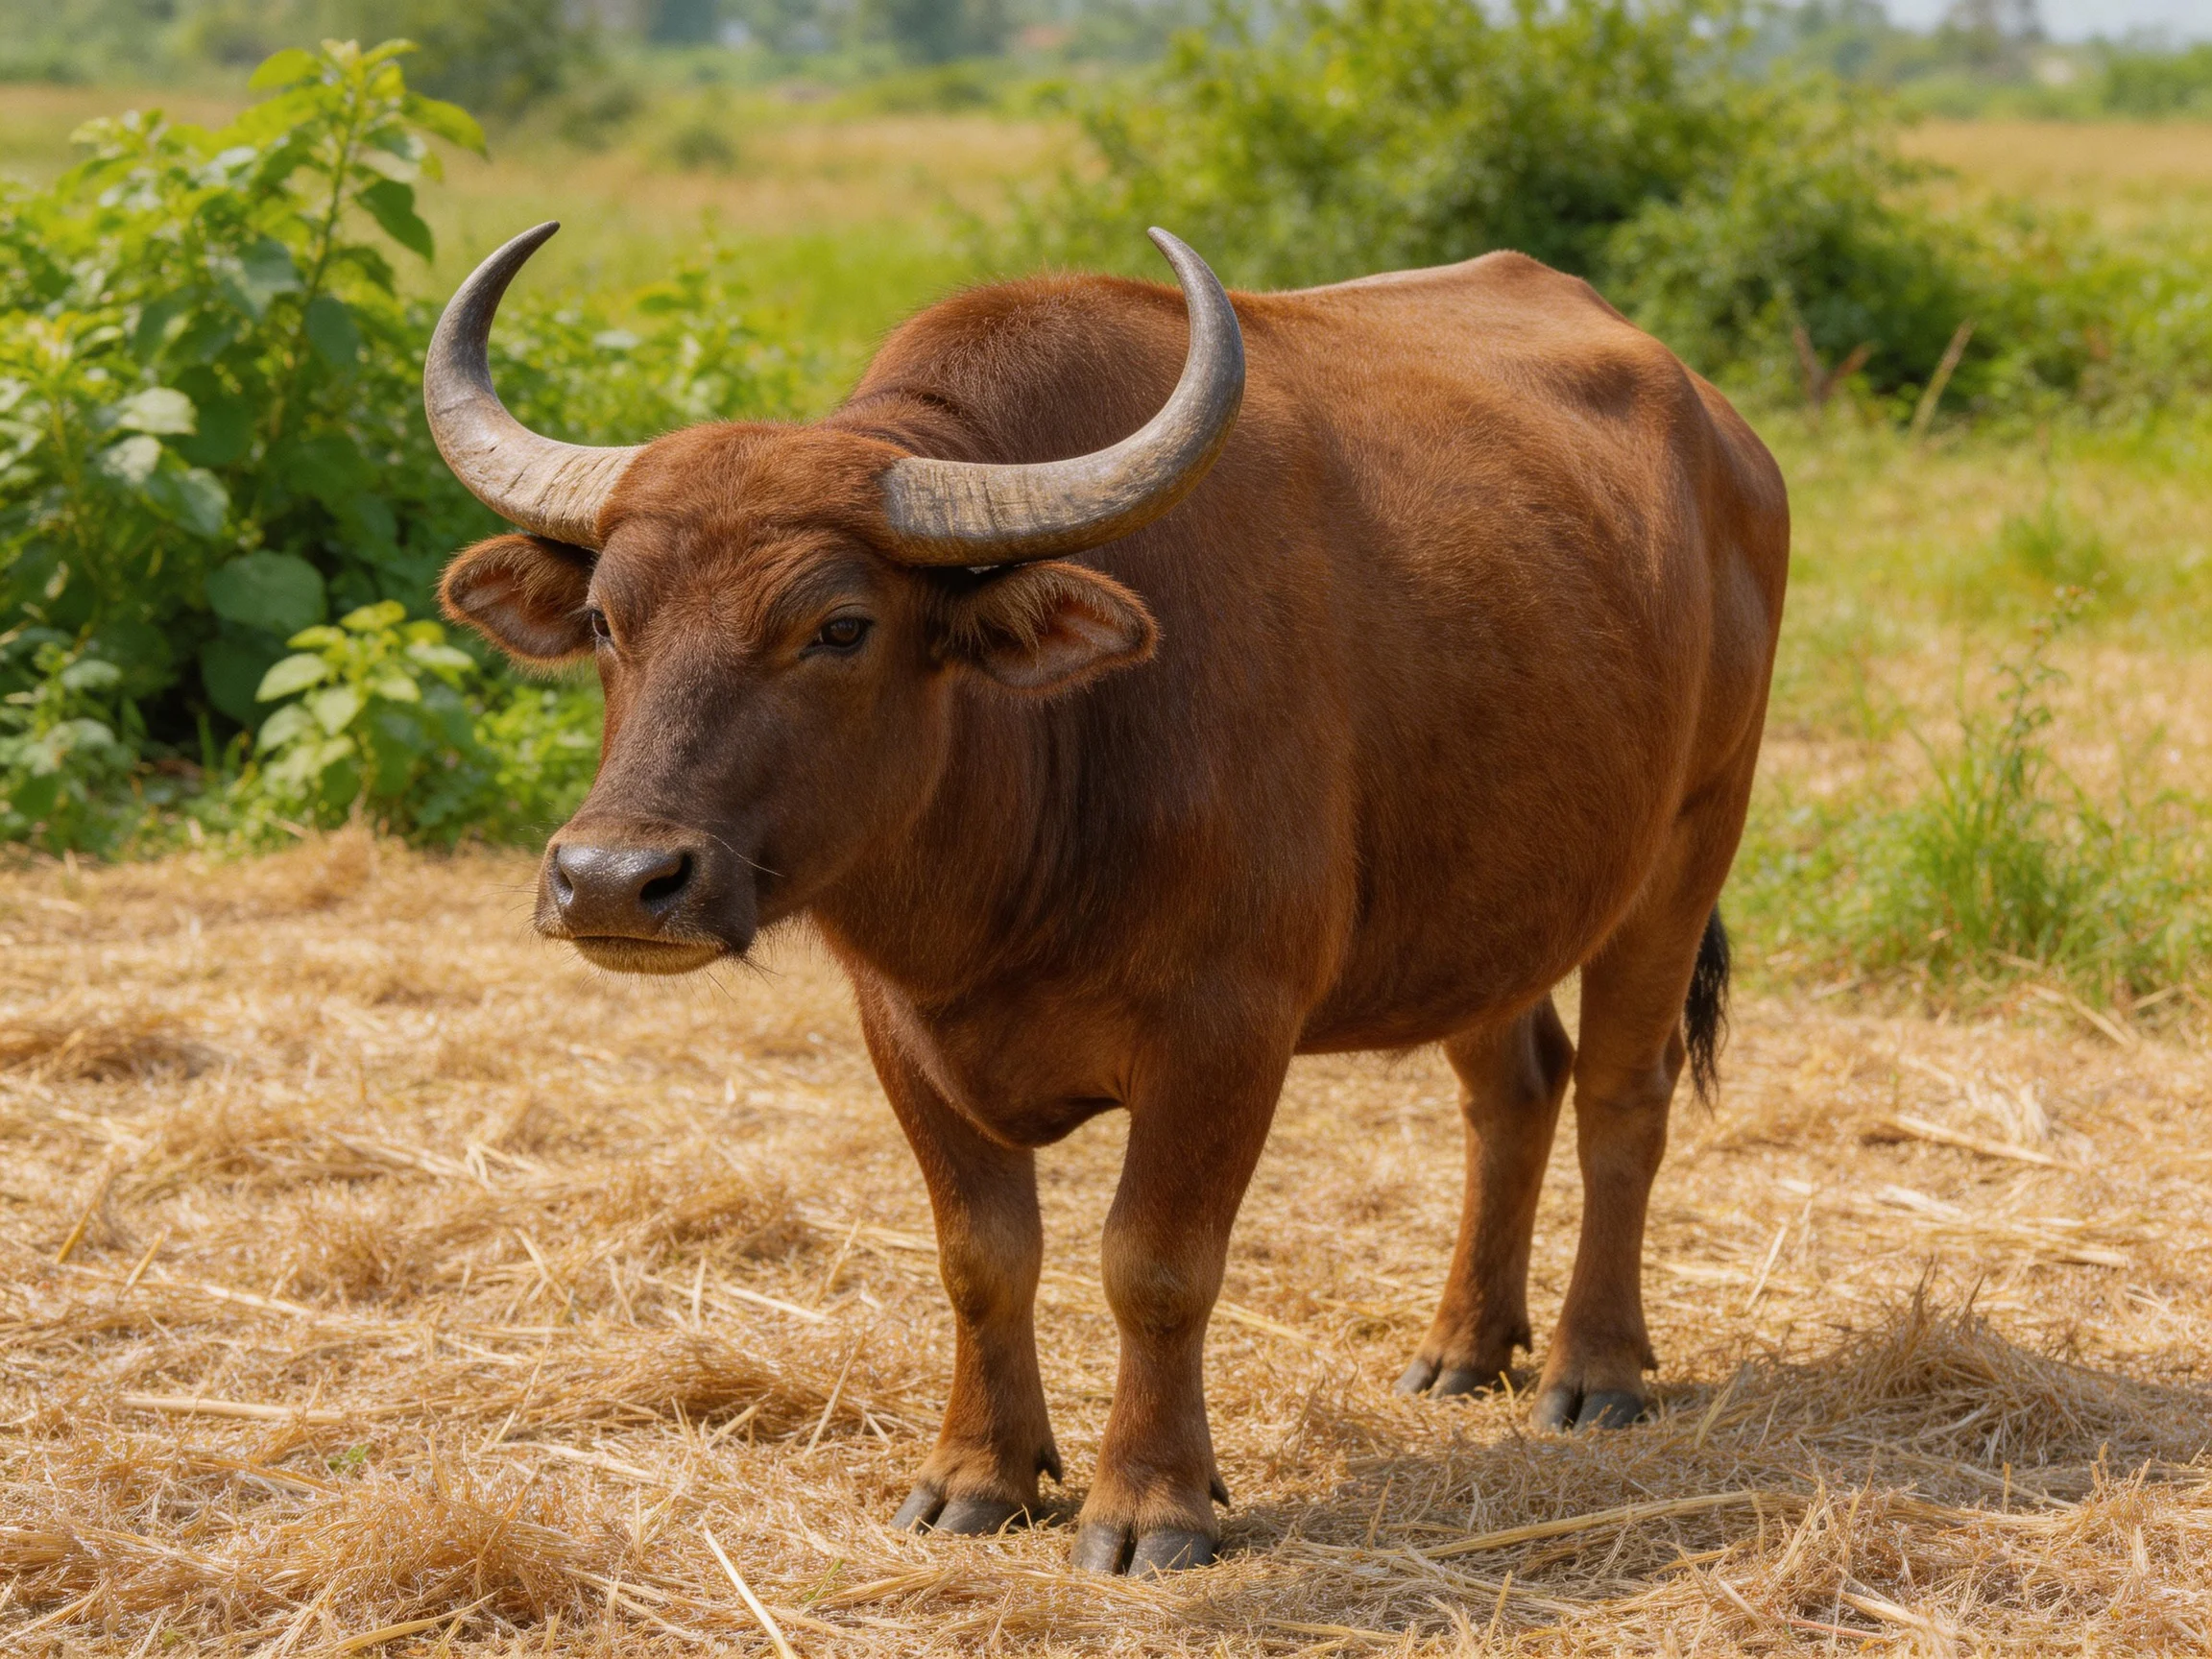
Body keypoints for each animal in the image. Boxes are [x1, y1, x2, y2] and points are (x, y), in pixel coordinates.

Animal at [426, 222, 1787, 1575]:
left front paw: (1150, 1501)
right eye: (607, 619)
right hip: (1488, 903)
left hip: (1692, 837)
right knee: (1514, 1089)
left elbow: (1158, 1264)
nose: (613, 878)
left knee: (1623, 1095)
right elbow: (981, 1257)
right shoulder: (901, 1031)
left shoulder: (1229, 1026)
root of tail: (1728, 440)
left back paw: (1594, 1369)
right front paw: (978, 1474)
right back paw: (1463, 1348)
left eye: (841, 626)